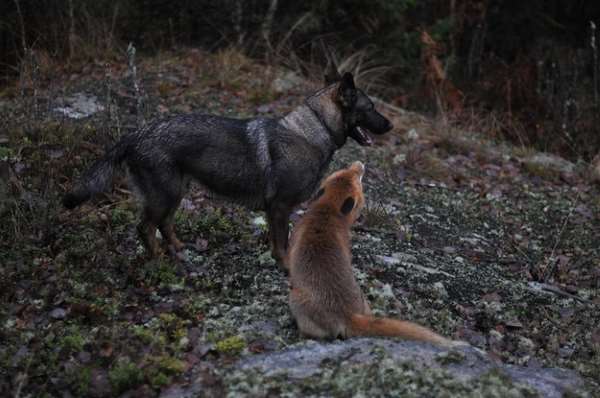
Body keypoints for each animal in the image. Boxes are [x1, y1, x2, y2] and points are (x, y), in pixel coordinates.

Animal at [63, 69, 392, 262]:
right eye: (371, 107)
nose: (391, 125)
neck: (313, 130)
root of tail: (137, 134)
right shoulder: (280, 207)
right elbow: (283, 245)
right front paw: (286, 269)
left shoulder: (275, 210)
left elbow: (276, 242)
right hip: (163, 195)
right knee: (145, 228)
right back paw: (157, 260)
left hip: (176, 191)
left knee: (165, 224)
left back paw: (179, 249)